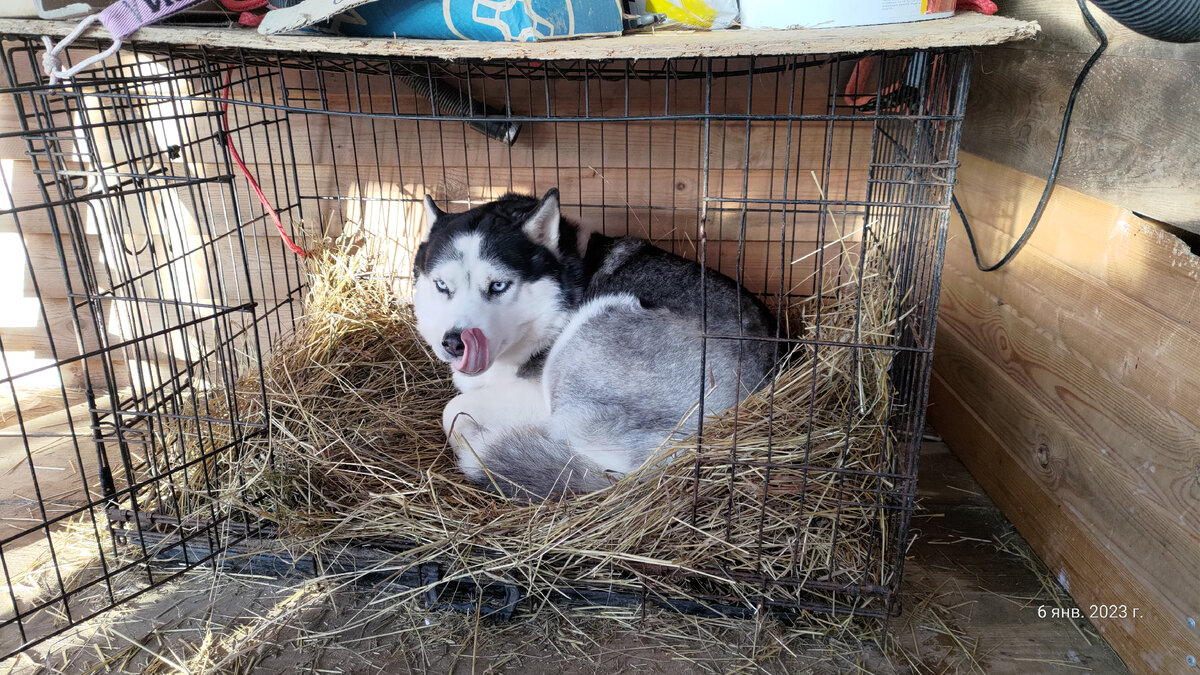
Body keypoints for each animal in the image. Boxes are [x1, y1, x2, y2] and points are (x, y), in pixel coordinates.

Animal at [415, 186, 777, 497]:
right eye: (442, 286)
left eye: (498, 286)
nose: (455, 342)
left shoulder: (531, 397)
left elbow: (453, 410)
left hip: (589, 332)